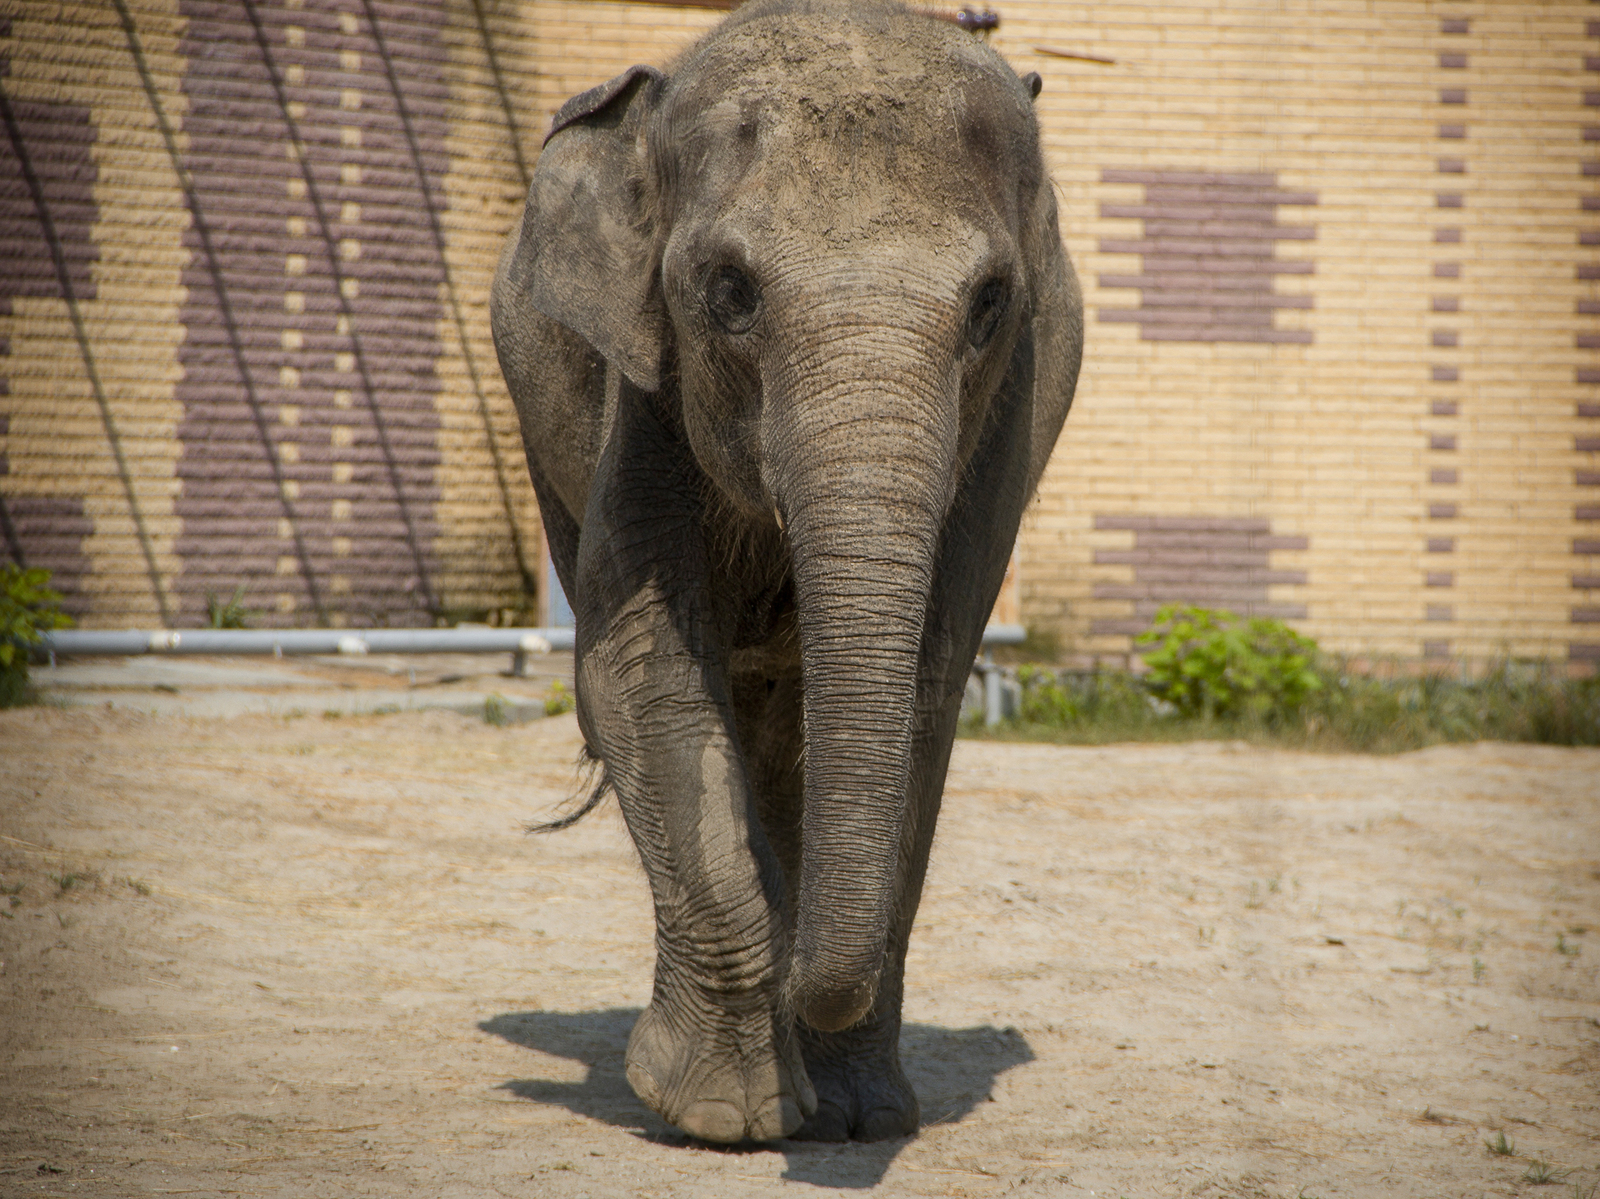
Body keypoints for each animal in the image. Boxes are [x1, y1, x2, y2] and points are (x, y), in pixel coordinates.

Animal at [492, 0, 1081, 1146]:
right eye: (729, 290)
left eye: (991, 303)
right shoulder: (644, 392)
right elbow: (638, 679)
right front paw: (729, 1117)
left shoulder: (1007, 422)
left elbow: (924, 694)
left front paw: (856, 1120)